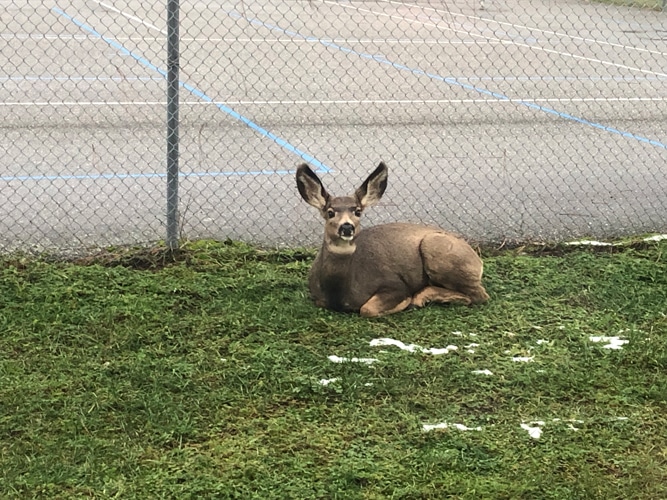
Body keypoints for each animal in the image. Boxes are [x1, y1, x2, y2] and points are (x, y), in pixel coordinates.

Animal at [298, 162, 490, 316]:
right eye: (330, 212)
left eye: (358, 211)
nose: (346, 227)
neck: (339, 293)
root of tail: (477, 259)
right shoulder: (318, 299)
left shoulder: (394, 284)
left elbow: (367, 309)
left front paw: (407, 302)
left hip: (435, 247)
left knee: (480, 295)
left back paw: (421, 297)